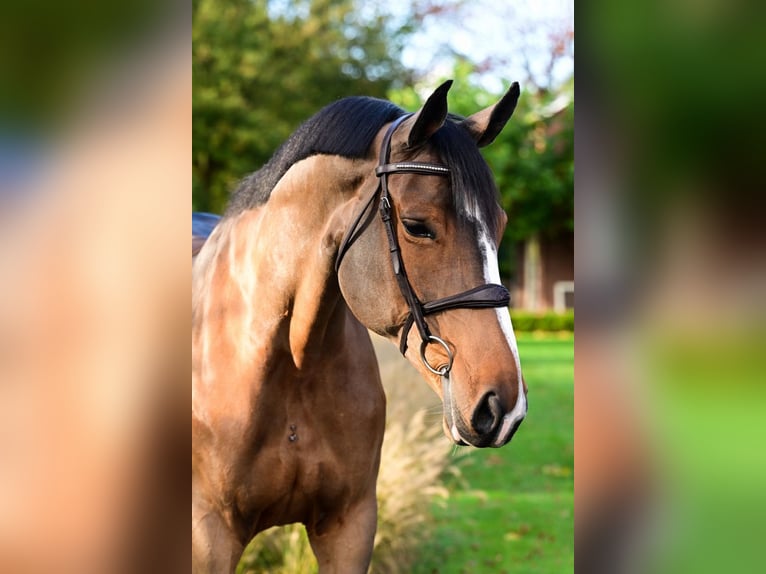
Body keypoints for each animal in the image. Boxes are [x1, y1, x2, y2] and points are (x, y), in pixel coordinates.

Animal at [192, 79, 528, 572]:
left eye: (500, 226)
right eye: (417, 226)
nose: (503, 406)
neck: (290, 364)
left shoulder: (350, 526)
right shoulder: (209, 534)